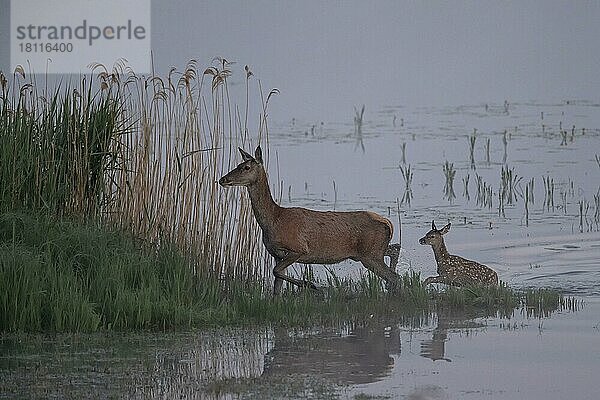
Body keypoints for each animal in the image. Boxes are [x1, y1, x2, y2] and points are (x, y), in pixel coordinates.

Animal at [218, 145, 400, 296]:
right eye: (238, 165)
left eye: (246, 167)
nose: (223, 179)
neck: (273, 220)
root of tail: (388, 223)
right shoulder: (276, 254)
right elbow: (277, 286)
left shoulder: (299, 249)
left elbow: (276, 272)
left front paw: (310, 284)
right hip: (373, 251)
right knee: (395, 250)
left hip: (369, 254)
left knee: (395, 276)